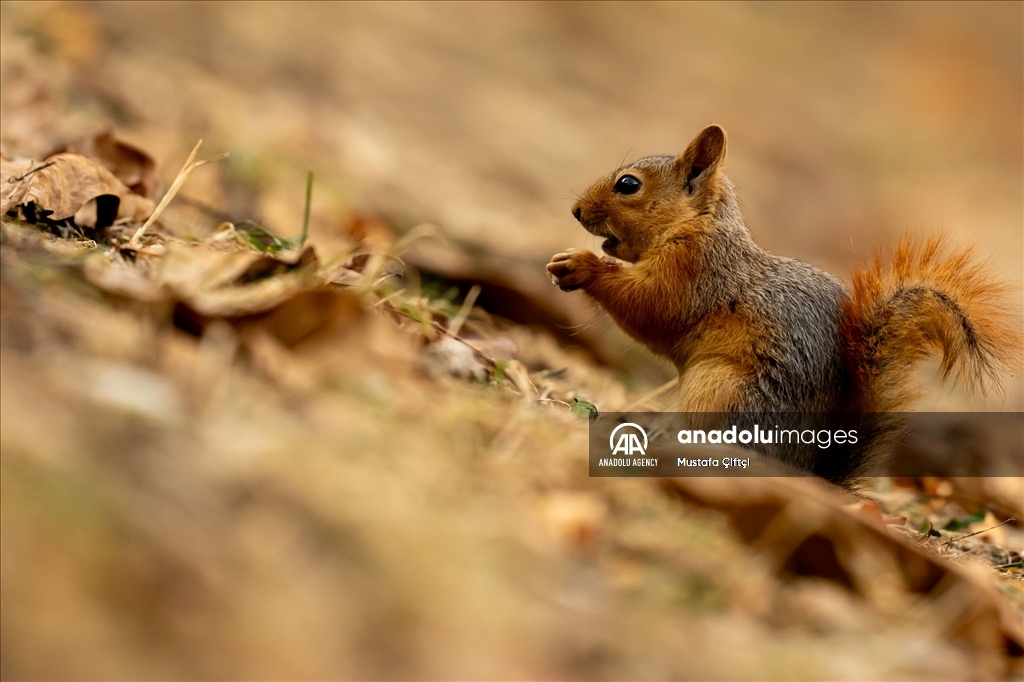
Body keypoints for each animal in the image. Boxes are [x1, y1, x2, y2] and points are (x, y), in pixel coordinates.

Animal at [548, 124, 1019, 481]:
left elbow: (650, 306)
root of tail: (804, 470)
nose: (574, 210)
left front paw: (582, 266)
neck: (695, 225)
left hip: (720, 390)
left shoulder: (694, 272)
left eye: (628, 184)